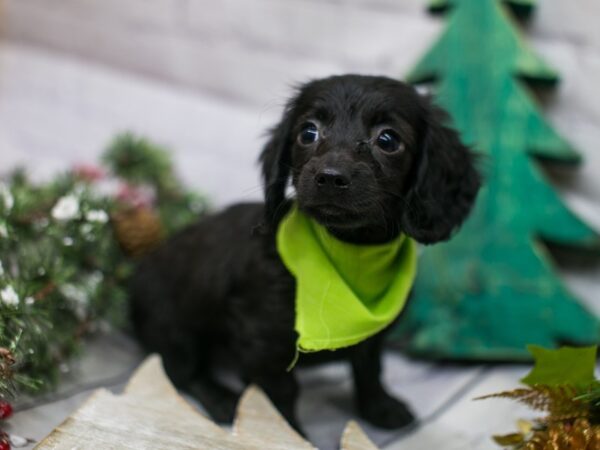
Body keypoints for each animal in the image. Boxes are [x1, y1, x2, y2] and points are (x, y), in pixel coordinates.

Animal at [129, 74, 480, 432]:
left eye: (388, 139)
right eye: (308, 132)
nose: (330, 177)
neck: (351, 254)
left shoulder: (370, 338)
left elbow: (369, 368)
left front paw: (379, 407)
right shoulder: (263, 341)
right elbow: (279, 394)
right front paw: (287, 434)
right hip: (175, 328)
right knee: (182, 372)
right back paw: (223, 399)